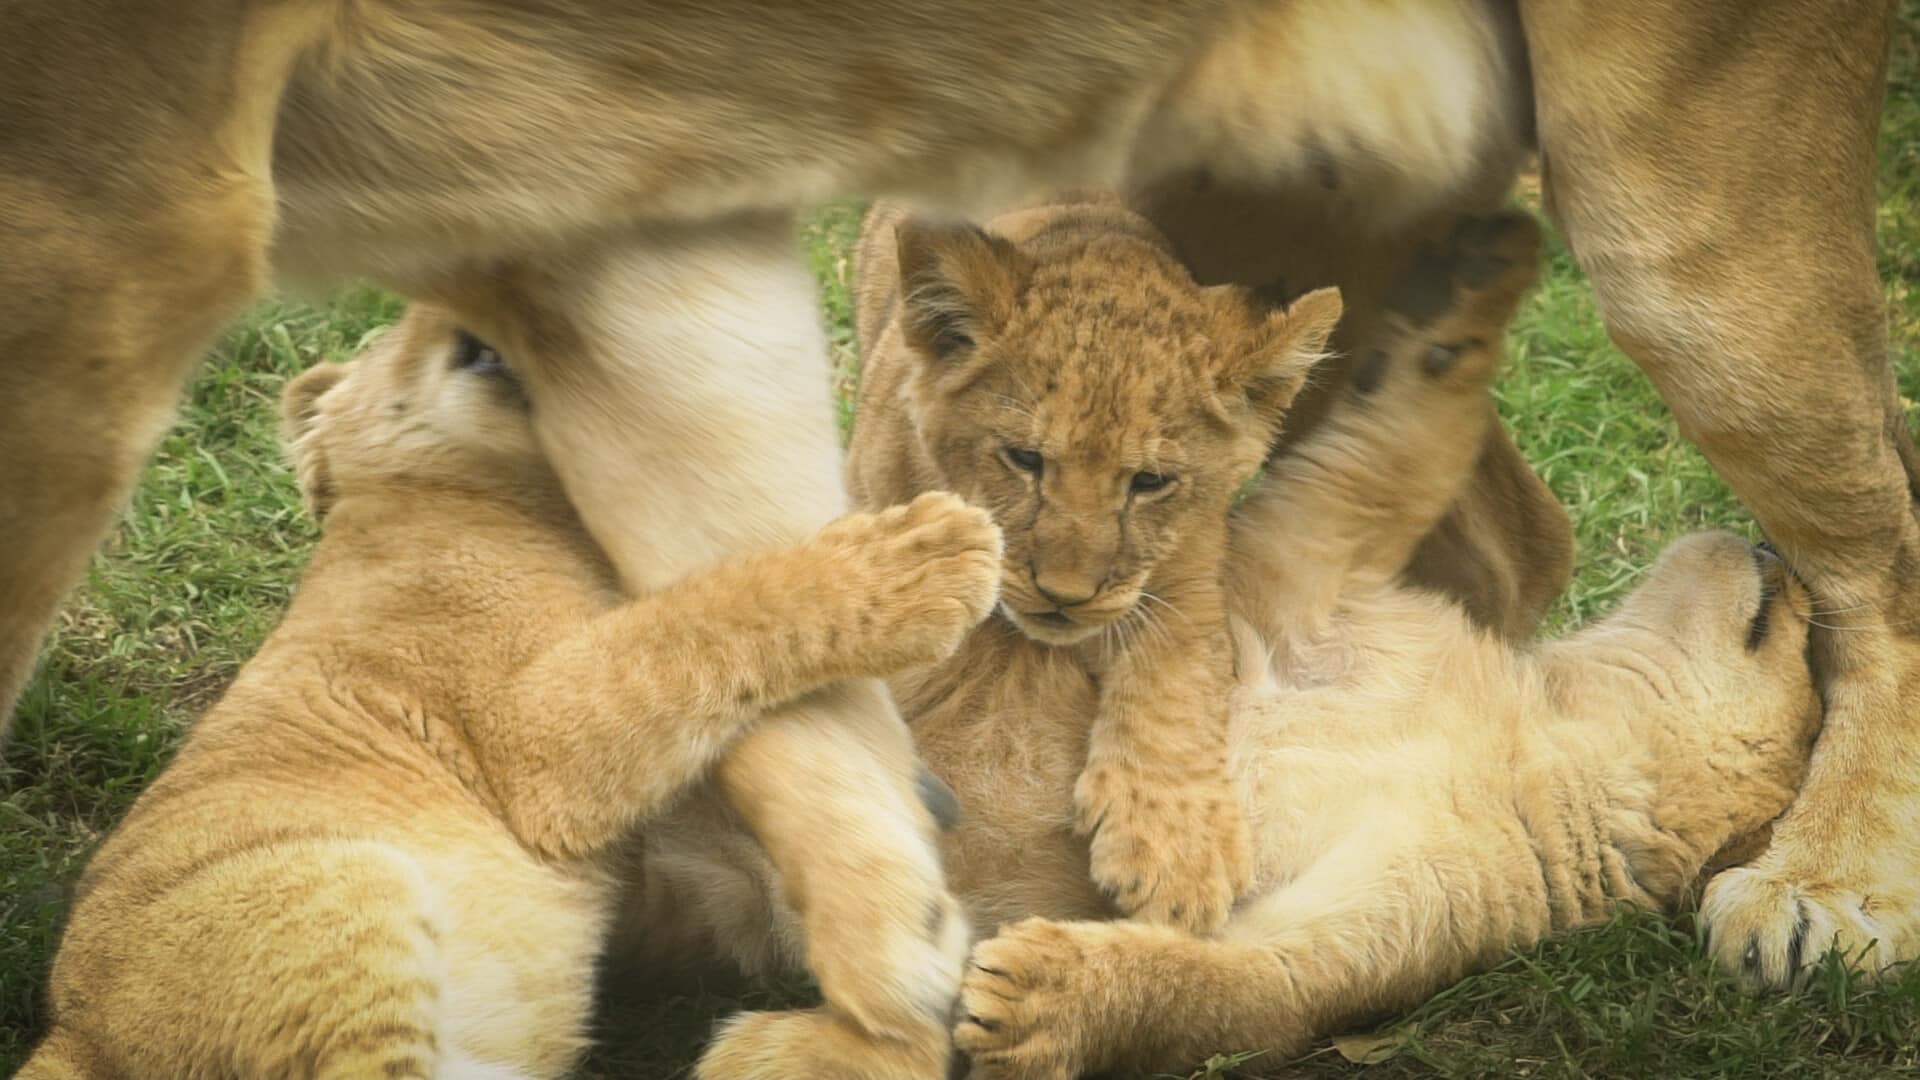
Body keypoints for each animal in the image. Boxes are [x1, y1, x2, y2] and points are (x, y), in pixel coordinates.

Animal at [5, 0, 1911, 986]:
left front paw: (1166, 811)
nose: (1056, 586)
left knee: (1871, 544)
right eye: (1016, 457)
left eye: (1147, 479)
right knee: (1516, 507)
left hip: (1674, 211)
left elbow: (1184, 622)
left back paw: (1825, 889)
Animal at [16, 308, 1004, 1080]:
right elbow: (703, 615)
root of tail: (73, 1036)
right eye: (394, 323)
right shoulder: (534, 741)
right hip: (346, 882)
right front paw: (932, 550)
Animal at [920, 213, 1823, 1079]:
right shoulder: (1312, 556)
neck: (1531, 722)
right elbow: (1399, 458)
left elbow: (1235, 986)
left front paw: (1032, 997)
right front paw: (1483, 265)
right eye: (1816, 686)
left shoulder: (1399, 907)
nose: (1783, 558)